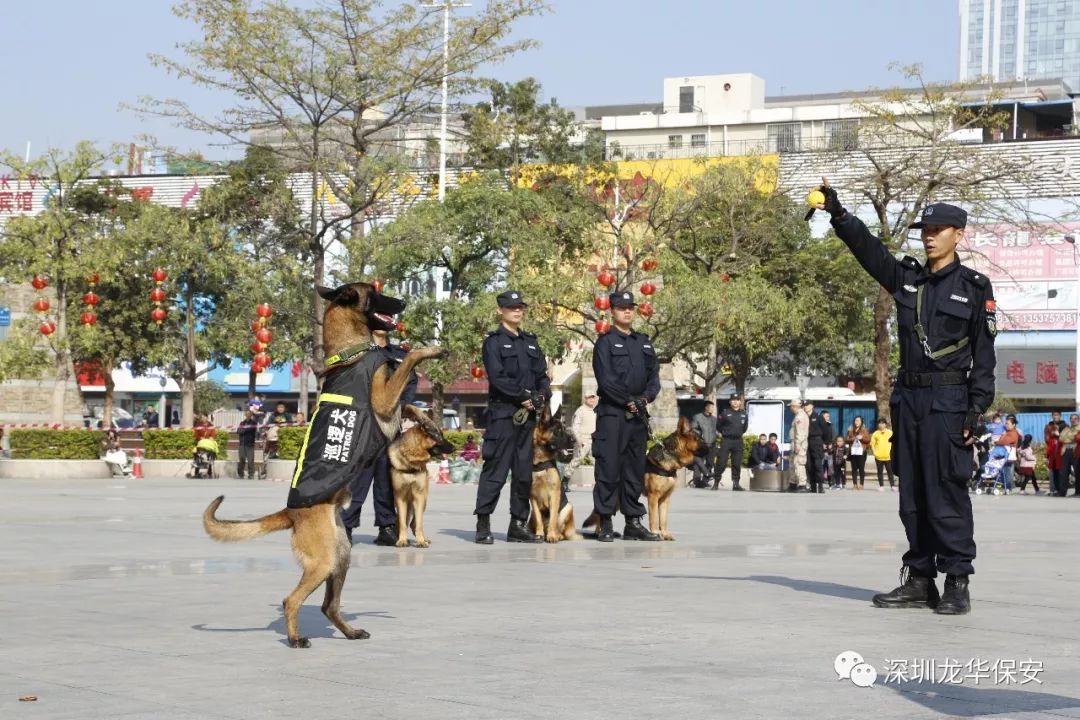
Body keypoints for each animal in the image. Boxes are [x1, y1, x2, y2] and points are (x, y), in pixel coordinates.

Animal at [812, 179, 993, 613]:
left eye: (937, 227)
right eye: (925, 229)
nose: (927, 237)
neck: (940, 275)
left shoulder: (984, 302)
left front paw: (956, 590)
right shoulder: (898, 275)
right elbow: (877, 257)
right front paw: (833, 204)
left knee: (946, 505)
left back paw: (954, 593)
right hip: (906, 441)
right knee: (913, 501)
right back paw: (915, 589)